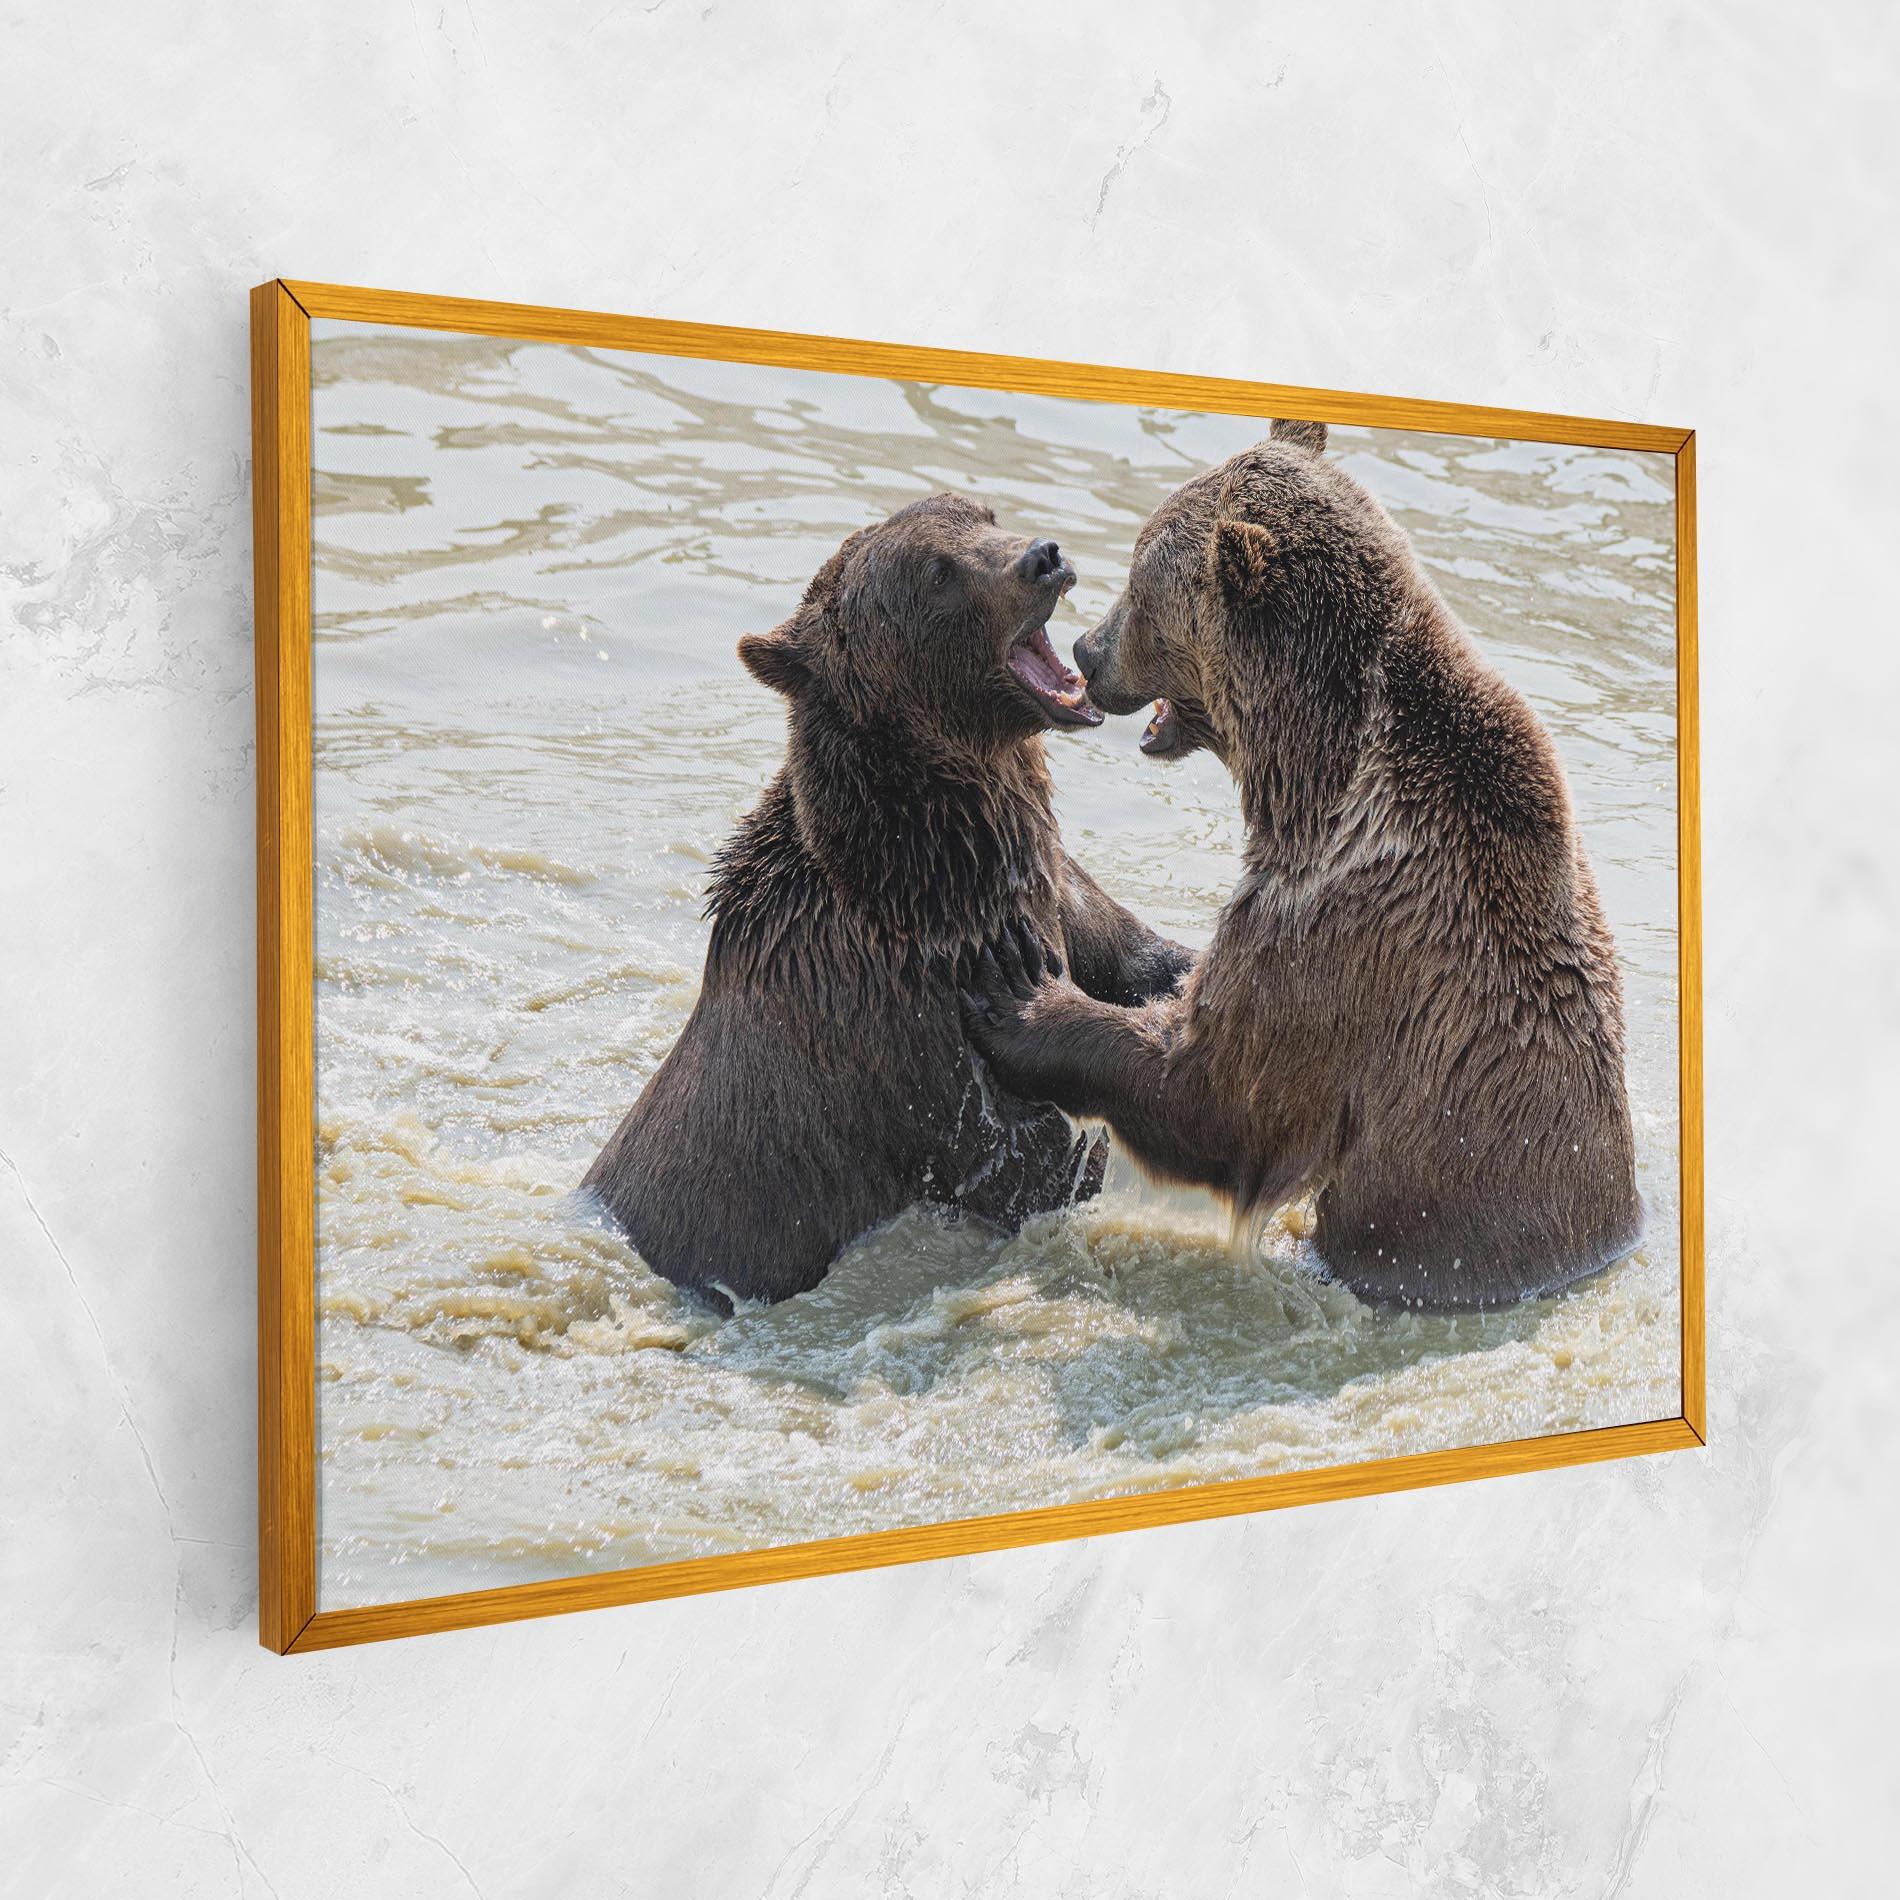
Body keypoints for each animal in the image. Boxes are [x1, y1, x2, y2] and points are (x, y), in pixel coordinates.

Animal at [583, 493, 1193, 1309]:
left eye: (980, 512)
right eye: (937, 572)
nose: (1044, 556)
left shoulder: (1055, 887)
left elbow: (1143, 957)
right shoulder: (909, 1035)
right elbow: (1035, 1160)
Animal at [962, 419, 1643, 1309]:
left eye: (1141, 585)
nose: (1088, 648)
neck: (1312, 775)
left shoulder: (1340, 932)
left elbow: (1215, 1089)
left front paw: (1022, 999)